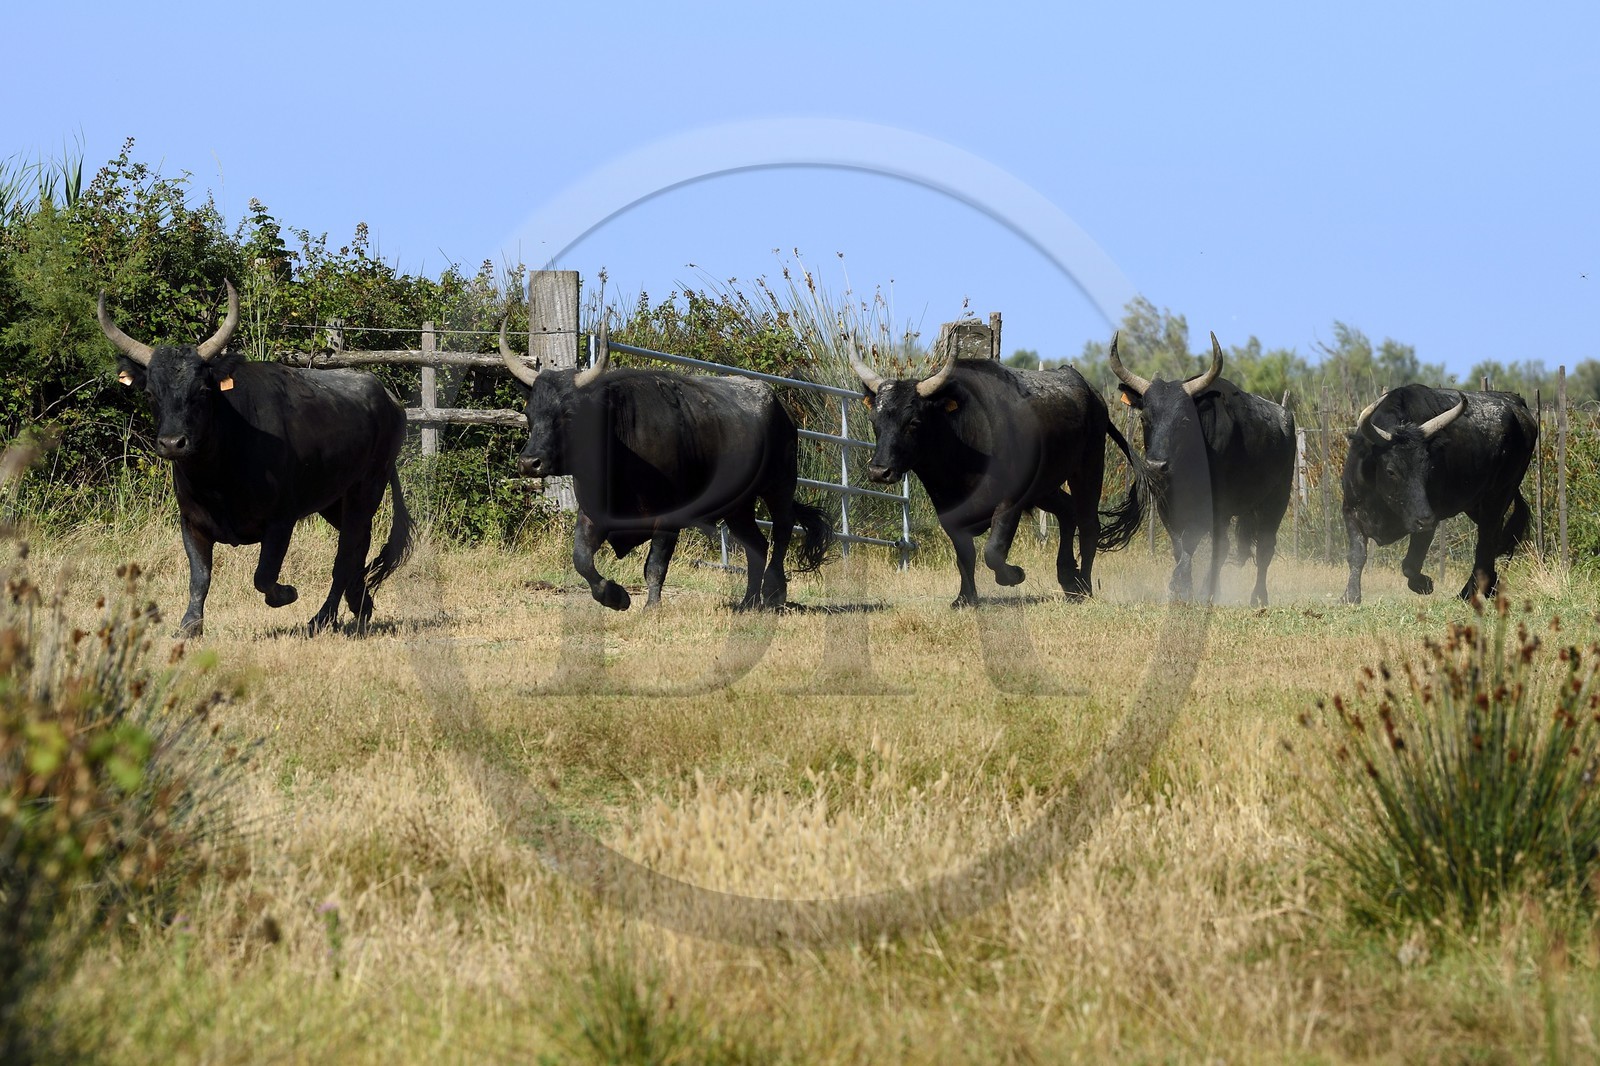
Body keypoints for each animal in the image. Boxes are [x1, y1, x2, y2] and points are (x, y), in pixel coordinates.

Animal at [97, 281, 412, 637]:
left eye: (202, 390)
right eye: (151, 393)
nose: (172, 443)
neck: (218, 477)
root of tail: (389, 399)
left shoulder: (281, 521)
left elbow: (264, 576)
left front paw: (287, 593)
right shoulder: (191, 522)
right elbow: (200, 577)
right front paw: (190, 625)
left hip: (367, 488)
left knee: (346, 554)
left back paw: (323, 617)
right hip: (336, 500)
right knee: (359, 544)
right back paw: (360, 606)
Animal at [500, 324, 833, 610]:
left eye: (569, 414)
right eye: (529, 414)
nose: (529, 462)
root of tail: (779, 404)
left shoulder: (669, 517)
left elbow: (655, 565)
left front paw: (651, 606)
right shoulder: (592, 513)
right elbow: (581, 558)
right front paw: (614, 596)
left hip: (779, 486)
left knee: (782, 530)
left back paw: (774, 592)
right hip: (738, 506)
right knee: (757, 545)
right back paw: (748, 602)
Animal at [848, 344, 1142, 607]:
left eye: (913, 422)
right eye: (875, 421)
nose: (879, 471)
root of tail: (1092, 393)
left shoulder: (1010, 501)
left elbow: (993, 551)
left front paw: (1014, 575)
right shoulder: (947, 509)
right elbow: (965, 555)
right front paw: (965, 598)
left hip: (1088, 467)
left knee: (1089, 525)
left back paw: (1084, 586)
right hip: (1044, 488)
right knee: (1067, 511)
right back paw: (1069, 579)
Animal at [1109, 332, 1297, 606]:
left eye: (1184, 421)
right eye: (1144, 418)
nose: (1156, 466)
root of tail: (1284, 416)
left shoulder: (1213, 506)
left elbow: (1191, 541)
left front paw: (1180, 585)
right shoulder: (1167, 506)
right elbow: (1179, 545)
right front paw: (1185, 588)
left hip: (1276, 499)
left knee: (1264, 547)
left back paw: (1256, 596)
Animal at [1339, 384, 1537, 604]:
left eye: (1429, 468)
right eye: (1391, 471)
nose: (1424, 519)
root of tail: (1516, 404)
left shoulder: (1428, 524)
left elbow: (1411, 564)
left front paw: (1424, 584)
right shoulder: (1351, 511)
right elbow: (1357, 555)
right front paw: (1350, 596)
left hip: (1499, 495)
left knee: (1485, 542)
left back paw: (1468, 593)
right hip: (1476, 504)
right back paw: (1488, 587)